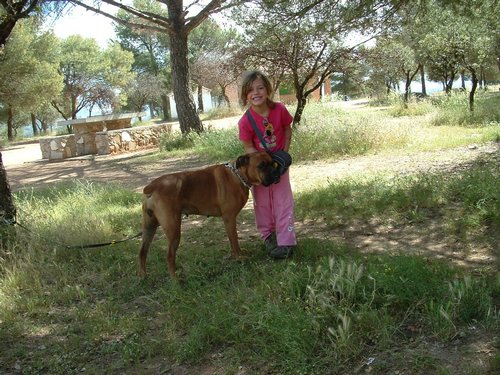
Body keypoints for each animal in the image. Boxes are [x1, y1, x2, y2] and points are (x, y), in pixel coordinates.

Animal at [138, 151, 278, 278]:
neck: (238, 175)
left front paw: (236, 255)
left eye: (272, 163)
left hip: (149, 228)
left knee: (142, 252)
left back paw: (143, 277)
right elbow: (234, 240)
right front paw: (239, 257)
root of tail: (152, 186)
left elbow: (233, 242)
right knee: (169, 256)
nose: (275, 172)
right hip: (173, 230)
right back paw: (175, 279)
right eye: (261, 165)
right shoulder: (229, 219)